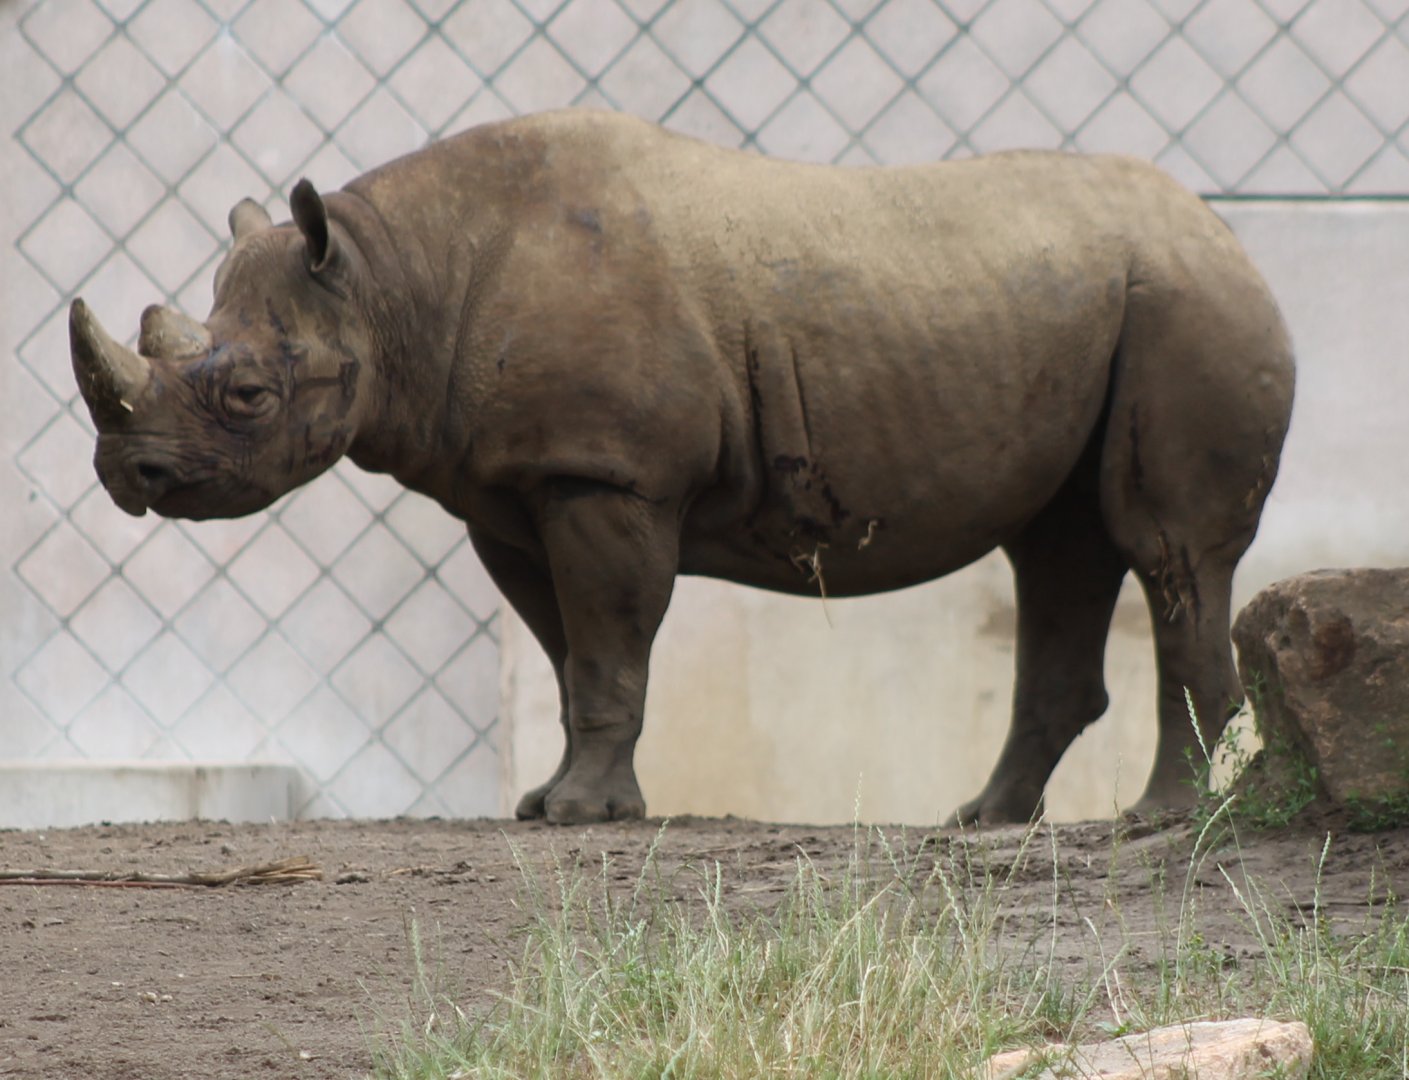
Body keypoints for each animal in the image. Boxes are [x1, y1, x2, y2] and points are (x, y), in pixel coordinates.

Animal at [70, 109, 1294, 826]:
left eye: (248, 397)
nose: (132, 478)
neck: (389, 281)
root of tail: (1227, 233)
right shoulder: (513, 493)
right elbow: (568, 656)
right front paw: (549, 801)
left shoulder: (605, 474)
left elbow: (611, 645)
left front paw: (582, 817)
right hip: (1095, 305)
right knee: (1057, 548)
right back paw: (981, 820)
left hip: (1186, 307)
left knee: (1162, 550)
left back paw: (1160, 821)